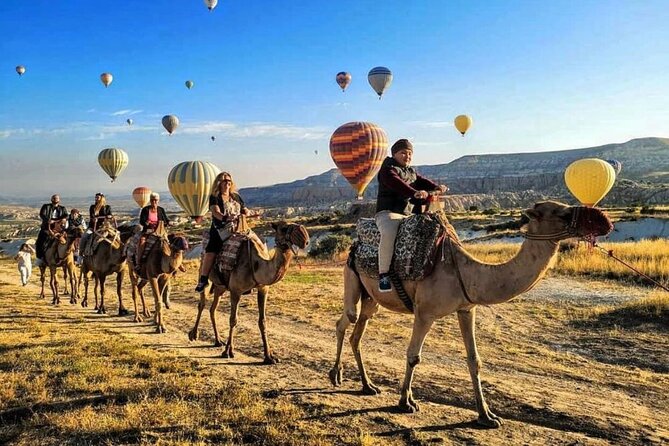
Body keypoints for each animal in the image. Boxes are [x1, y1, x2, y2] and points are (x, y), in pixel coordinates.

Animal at [188, 222, 309, 364]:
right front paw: (228, 352)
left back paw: (218, 341)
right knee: (202, 303)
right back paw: (193, 334)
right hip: (204, 273)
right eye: (283, 228)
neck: (256, 264)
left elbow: (262, 321)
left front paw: (269, 357)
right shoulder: (236, 290)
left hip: (220, 286)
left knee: (213, 308)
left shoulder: (263, 289)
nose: (305, 239)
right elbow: (233, 319)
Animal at [329, 201, 613, 428]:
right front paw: (405, 402)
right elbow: (413, 356)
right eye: (563, 214)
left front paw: (487, 416)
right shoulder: (425, 312)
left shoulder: (467, 309)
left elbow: (474, 360)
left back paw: (367, 386)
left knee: (357, 331)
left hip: (371, 299)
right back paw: (335, 375)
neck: (464, 272)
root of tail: (354, 244)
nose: (605, 222)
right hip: (352, 278)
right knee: (346, 320)